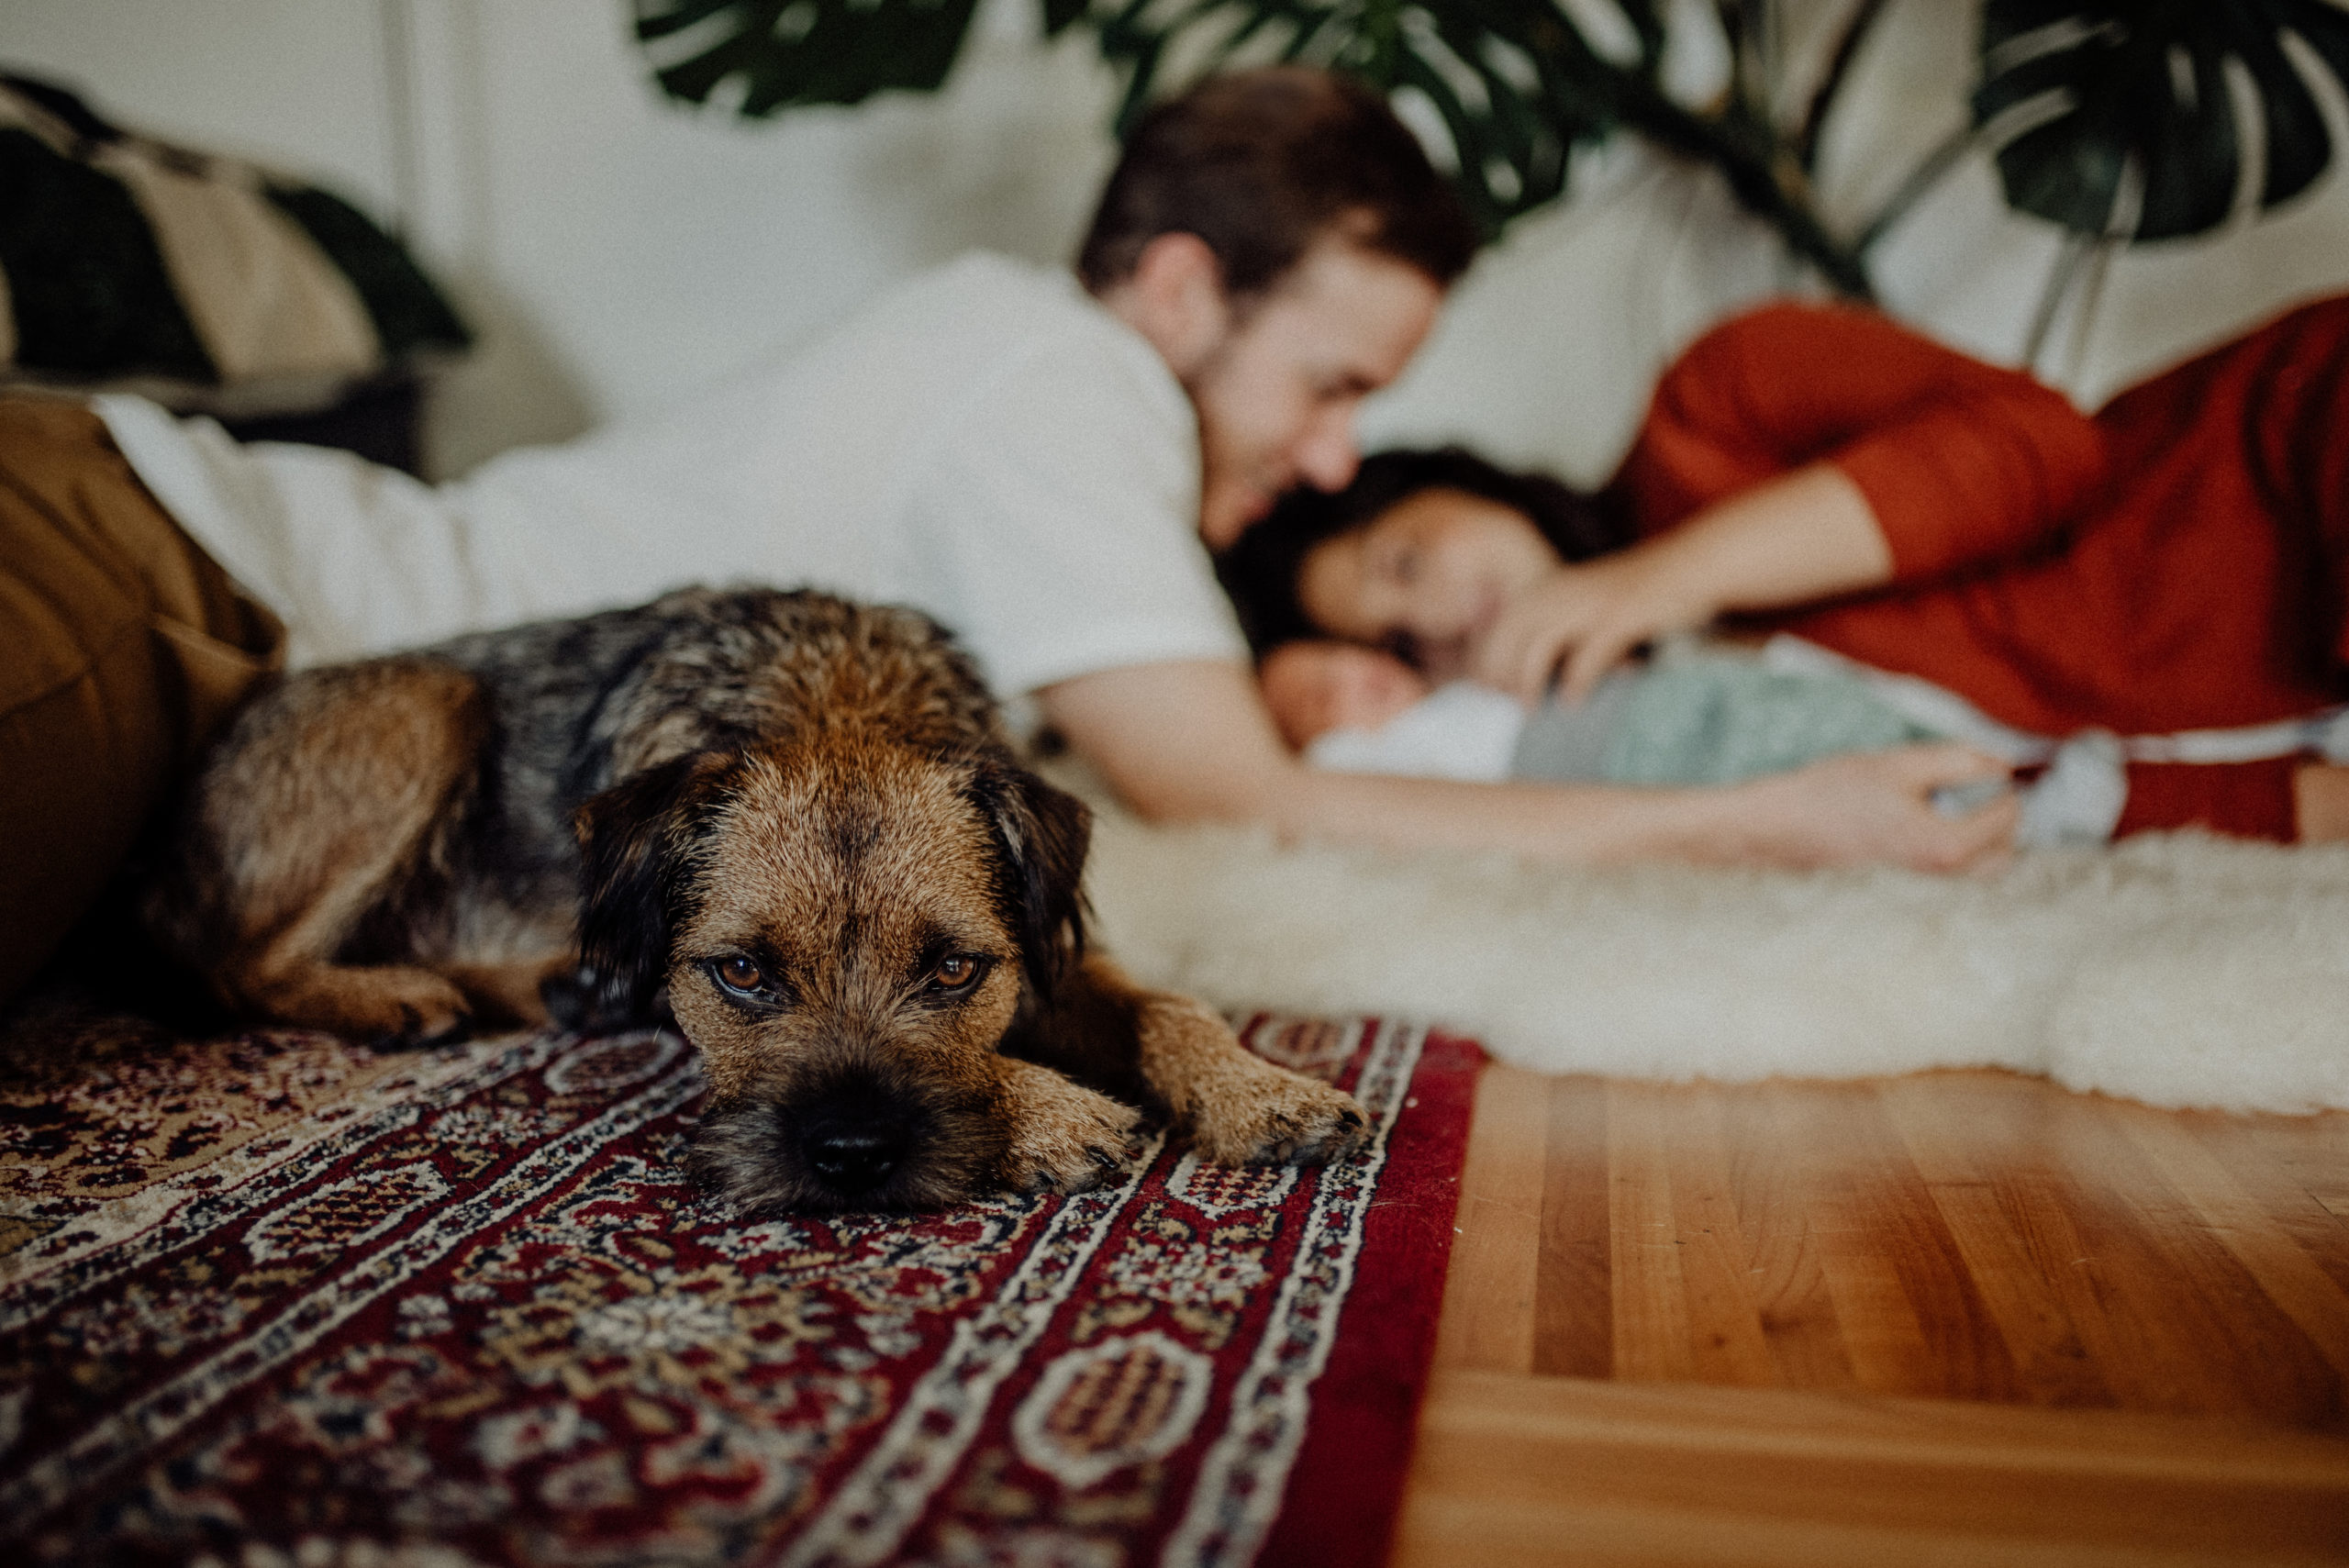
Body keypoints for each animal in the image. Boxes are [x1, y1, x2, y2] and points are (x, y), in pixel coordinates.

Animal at [141, 586, 1362, 1211]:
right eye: (740, 972)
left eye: (952, 968)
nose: (849, 1156)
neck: (835, 696)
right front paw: (1051, 1108)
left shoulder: (1044, 952)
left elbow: (1167, 1005)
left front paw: (1260, 1086)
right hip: (427, 704)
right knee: (234, 963)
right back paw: (396, 995)